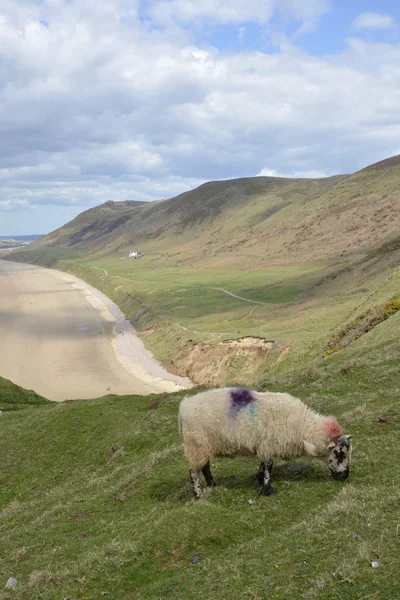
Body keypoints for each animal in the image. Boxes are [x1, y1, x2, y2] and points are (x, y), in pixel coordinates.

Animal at [179, 390, 354, 496]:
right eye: (339, 454)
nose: (345, 476)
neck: (302, 426)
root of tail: (184, 406)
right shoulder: (269, 445)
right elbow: (269, 466)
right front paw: (268, 489)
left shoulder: (264, 446)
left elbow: (263, 464)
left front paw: (259, 479)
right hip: (196, 444)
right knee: (193, 471)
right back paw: (198, 494)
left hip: (204, 446)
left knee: (205, 467)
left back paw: (213, 485)